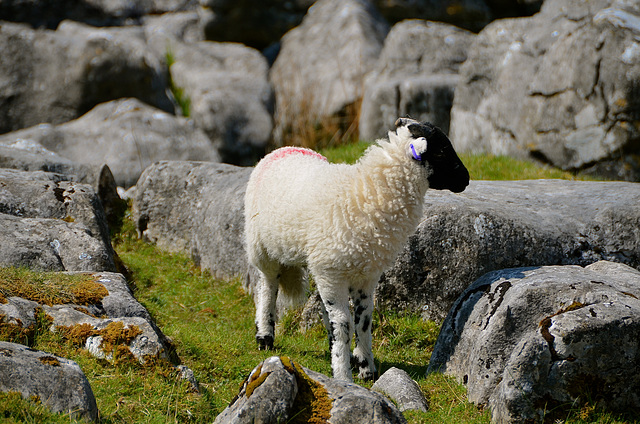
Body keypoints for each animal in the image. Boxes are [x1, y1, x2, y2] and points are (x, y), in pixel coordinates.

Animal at [242, 117, 468, 380]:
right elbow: (343, 323)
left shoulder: (365, 275)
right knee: (267, 287)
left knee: (322, 307)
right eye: (441, 150)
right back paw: (265, 336)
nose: (466, 179)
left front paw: (366, 368)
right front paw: (342, 375)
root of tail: (285, 148)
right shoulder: (332, 272)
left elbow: (363, 321)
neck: (368, 193)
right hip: (263, 248)